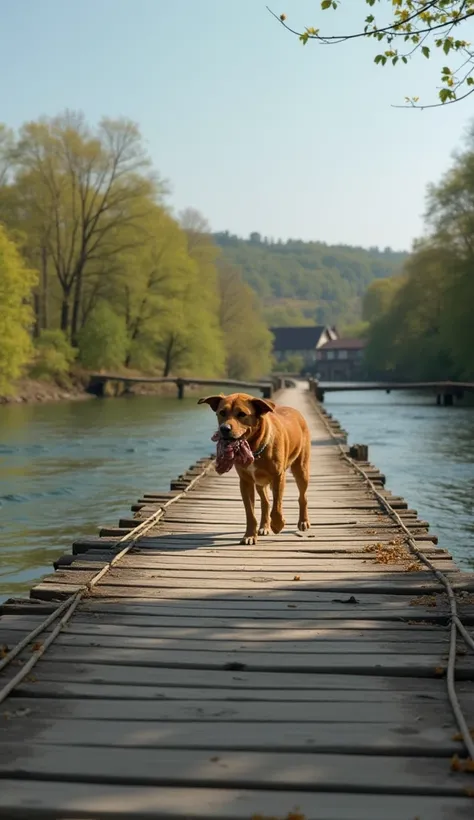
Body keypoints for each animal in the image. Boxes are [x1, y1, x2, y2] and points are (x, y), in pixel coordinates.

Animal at [197, 392, 312, 544]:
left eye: (242, 414)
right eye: (222, 412)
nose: (224, 429)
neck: (253, 448)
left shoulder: (278, 476)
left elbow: (277, 506)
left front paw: (277, 524)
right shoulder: (246, 482)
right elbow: (250, 513)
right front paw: (250, 535)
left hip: (301, 469)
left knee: (302, 497)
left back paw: (303, 521)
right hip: (259, 483)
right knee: (265, 502)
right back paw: (264, 526)